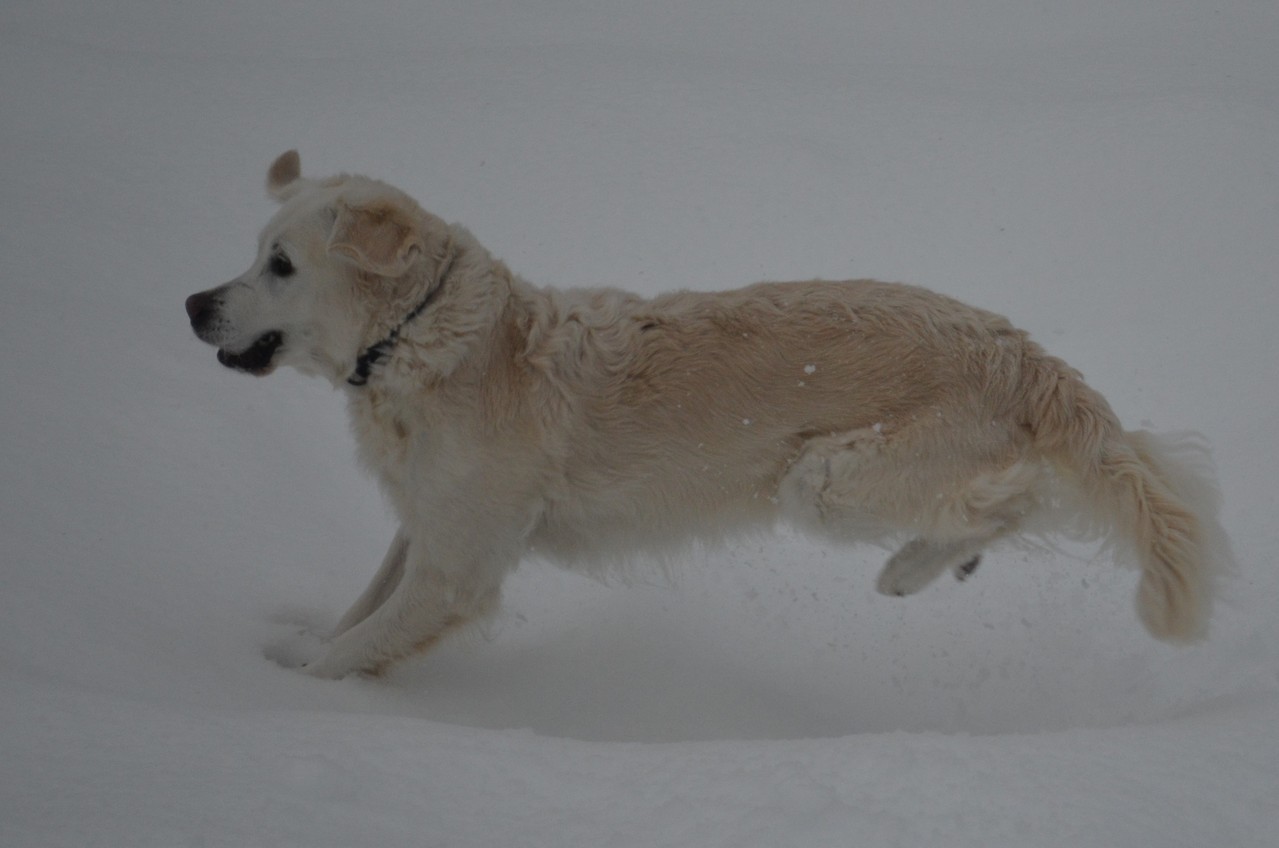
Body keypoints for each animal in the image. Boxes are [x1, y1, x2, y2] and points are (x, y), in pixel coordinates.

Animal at [182, 147, 1227, 675]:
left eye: (281, 265)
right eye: (255, 252)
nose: (193, 305)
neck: (431, 339)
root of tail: (1021, 352)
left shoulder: (461, 566)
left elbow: (355, 648)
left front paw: (295, 682)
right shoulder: (429, 529)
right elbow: (362, 607)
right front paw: (305, 641)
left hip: (825, 479)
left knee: (1012, 500)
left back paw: (913, 565)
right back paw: (936, 563)